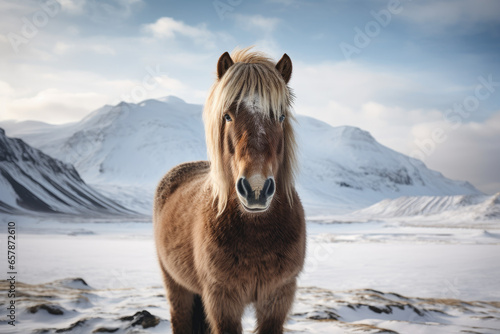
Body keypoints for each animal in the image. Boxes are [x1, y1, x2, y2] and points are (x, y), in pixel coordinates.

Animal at [154, 47, 306, 334]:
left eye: (280, 116)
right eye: (227, 116)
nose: (256, 189)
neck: (257, 237)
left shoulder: (278, 297)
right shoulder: (222, 299)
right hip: (176, 286)